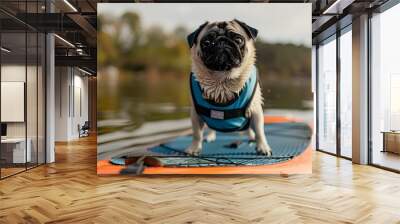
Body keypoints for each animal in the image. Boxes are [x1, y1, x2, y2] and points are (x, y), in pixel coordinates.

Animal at [186, 19, 274, 156]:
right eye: (206, 42)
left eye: (238, 39)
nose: (222, 41)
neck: (222, 80)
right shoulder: (195, 114)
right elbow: (196, 134)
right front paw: (194, 148)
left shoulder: (256, 111)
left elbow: (260, 132)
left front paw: (263, 147)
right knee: (211, 128)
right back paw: (210, 136)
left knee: (251, 130)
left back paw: (251, 138)